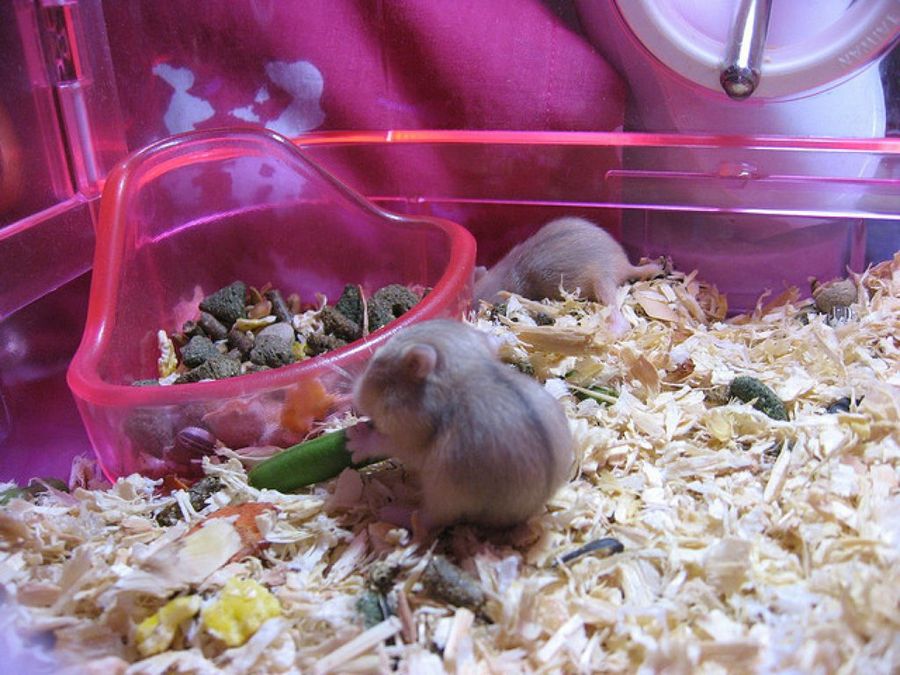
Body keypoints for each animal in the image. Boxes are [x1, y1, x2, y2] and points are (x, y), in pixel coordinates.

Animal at [348, 319, 574, 534]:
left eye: (377, 364)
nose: (355, 395)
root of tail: (525, 514)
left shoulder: (409, 434)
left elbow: (382, 442)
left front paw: (353, 438)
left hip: (443, 491)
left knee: (429, 519)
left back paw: (389, 512)